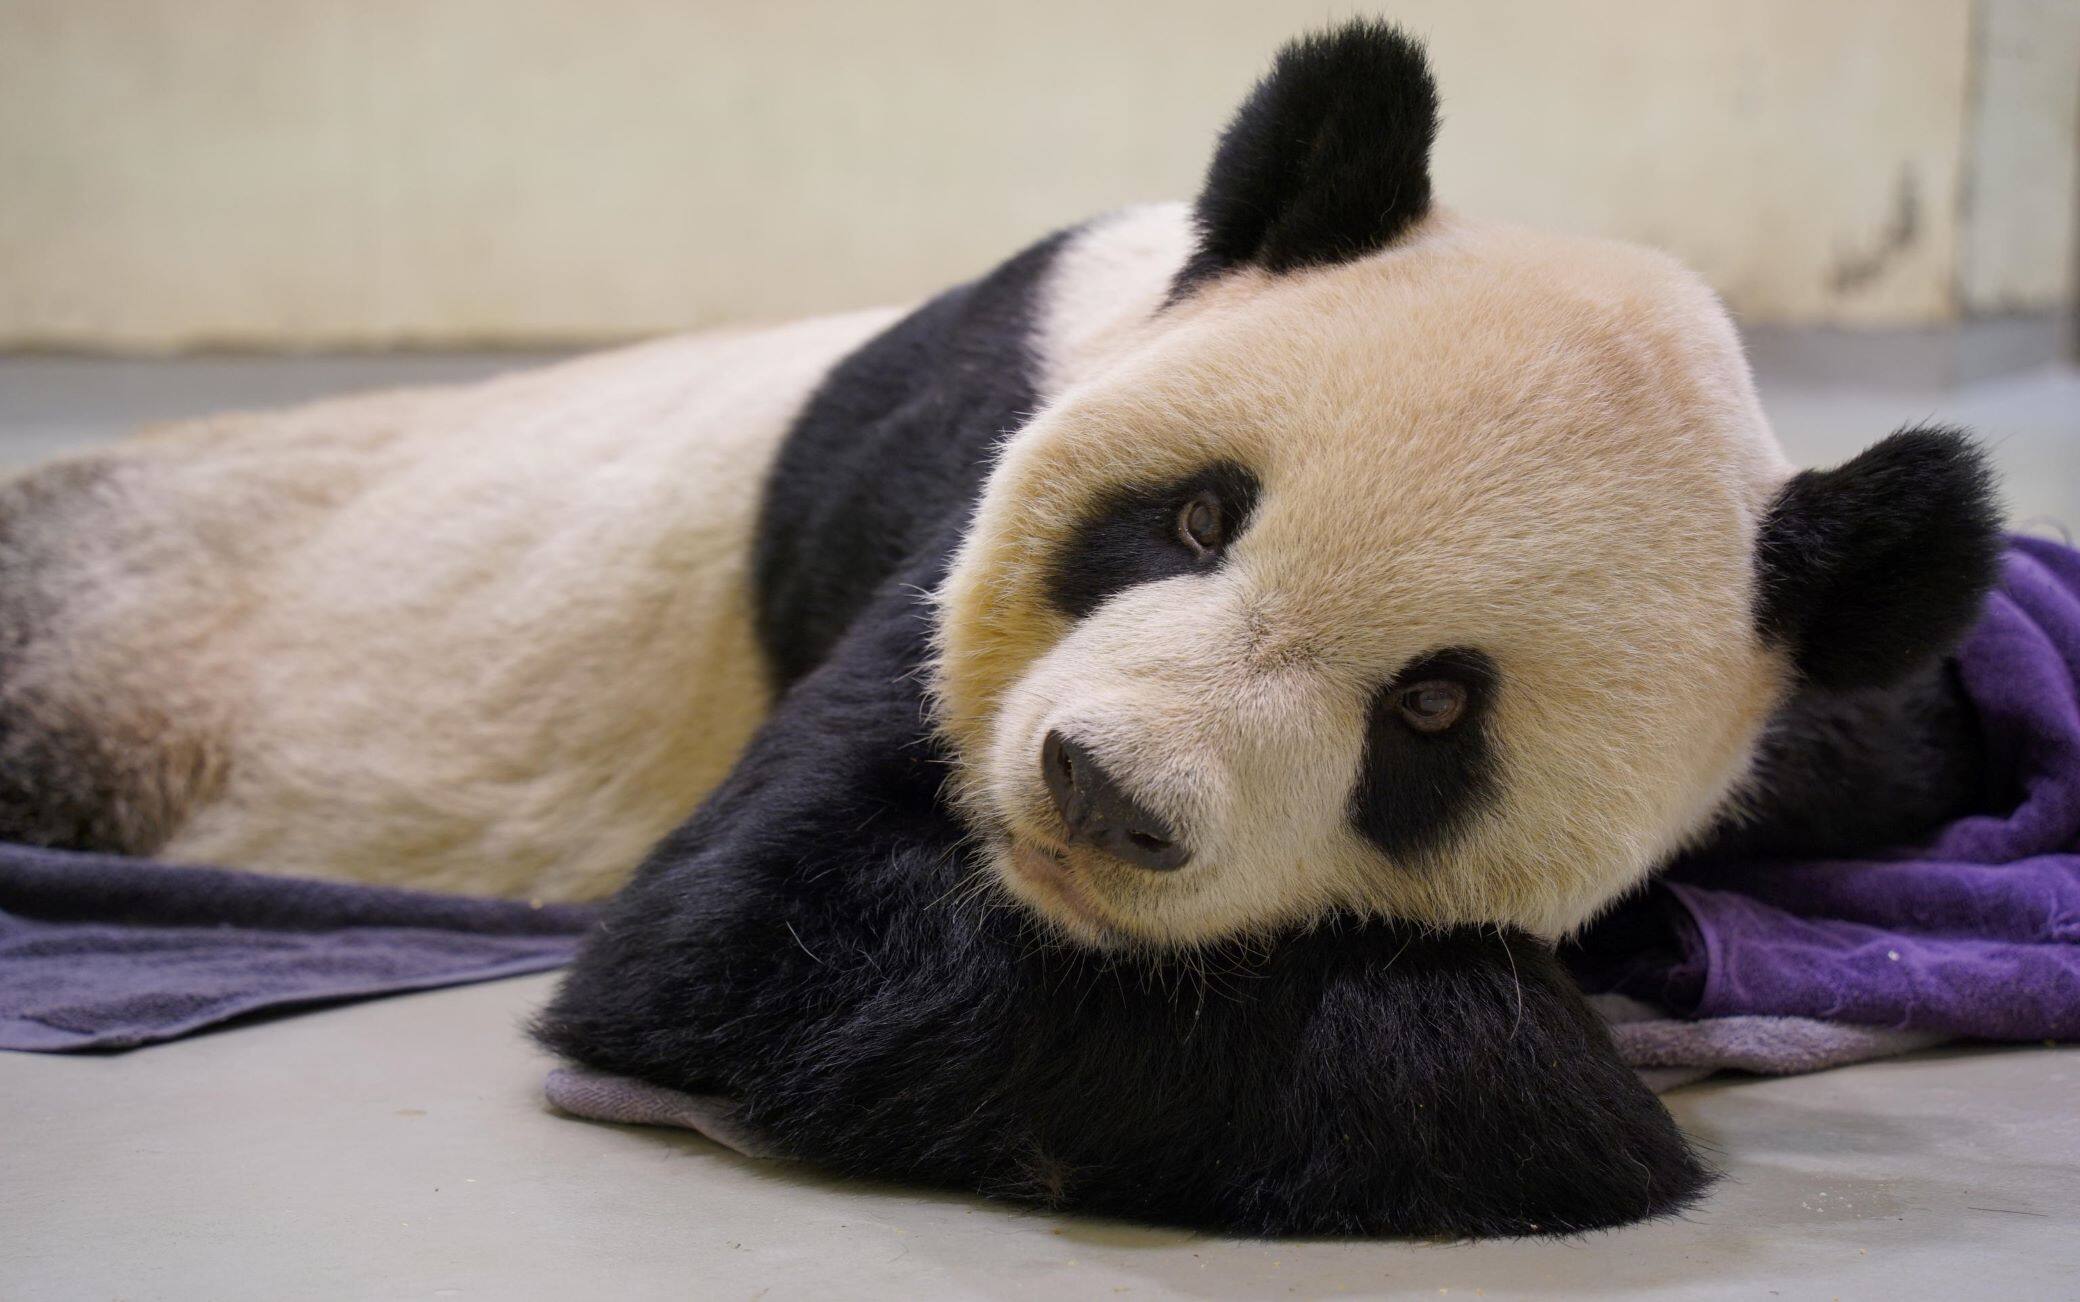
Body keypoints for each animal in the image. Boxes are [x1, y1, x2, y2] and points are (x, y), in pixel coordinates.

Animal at [3, 23, 1999, 1234]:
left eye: (1436, 709)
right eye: (1194, 516)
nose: (1103, 793)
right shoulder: (959, 505)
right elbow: (740, 927)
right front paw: (1566, 1101)